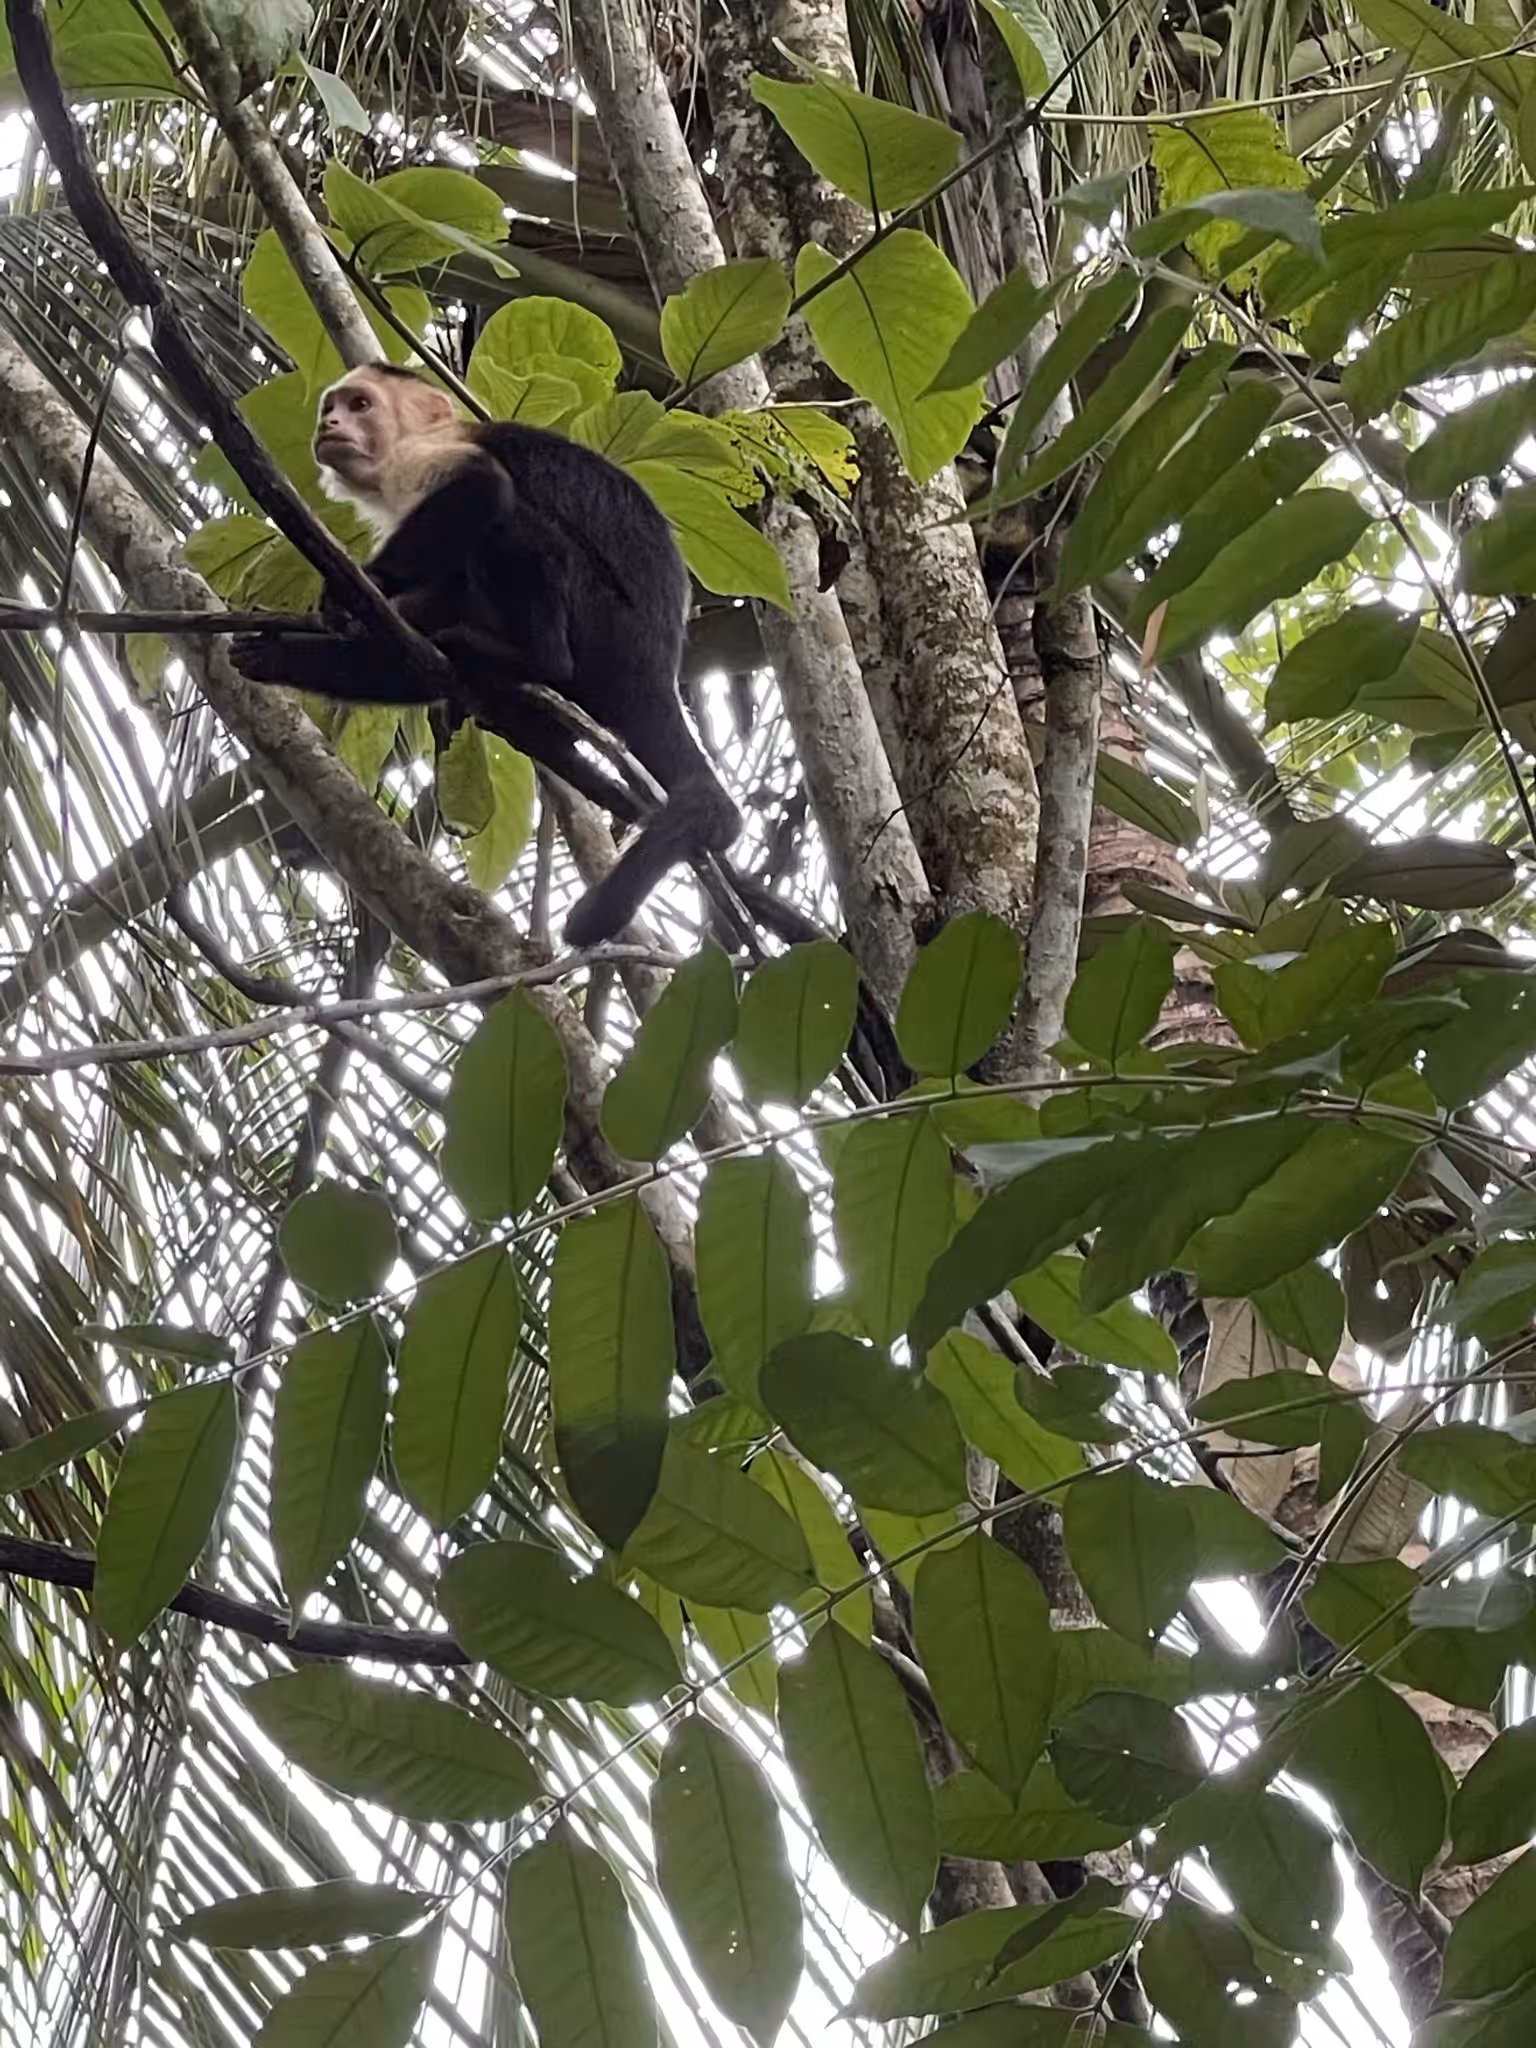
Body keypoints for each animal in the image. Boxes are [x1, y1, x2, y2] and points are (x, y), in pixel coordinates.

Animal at [229, 363, 742, 946]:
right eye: (331, 408)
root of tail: (657, 670)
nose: (329, 425)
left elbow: (481, 487)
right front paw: (282, 657)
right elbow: (416, 646)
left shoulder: (423, 456)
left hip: (606, 625)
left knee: (514, 520)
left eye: (360, 405)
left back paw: (535, 660)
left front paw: (363, 583)